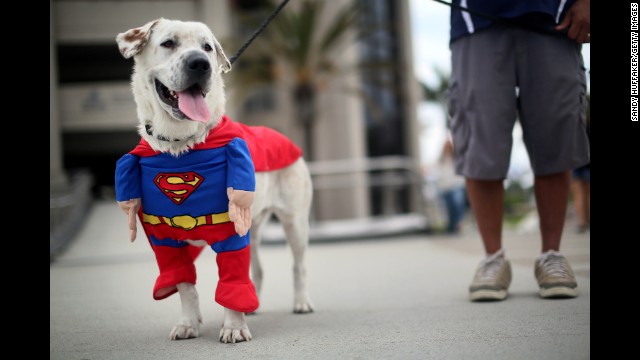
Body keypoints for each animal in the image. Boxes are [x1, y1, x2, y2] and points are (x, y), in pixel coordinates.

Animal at [115, 18, 316, 344]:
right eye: (168, 43)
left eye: (207, 47)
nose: (201, 63)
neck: (182, 147)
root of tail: (282, 136)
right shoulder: (165, 240)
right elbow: (185, 285)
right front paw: (188, 323)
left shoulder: (232, 233)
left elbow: (232, 279)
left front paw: (234, 326)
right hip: (253, 225)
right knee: (257, 269)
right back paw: (252, 306)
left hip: (295, 222)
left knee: (299, 266)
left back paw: (301, 302)